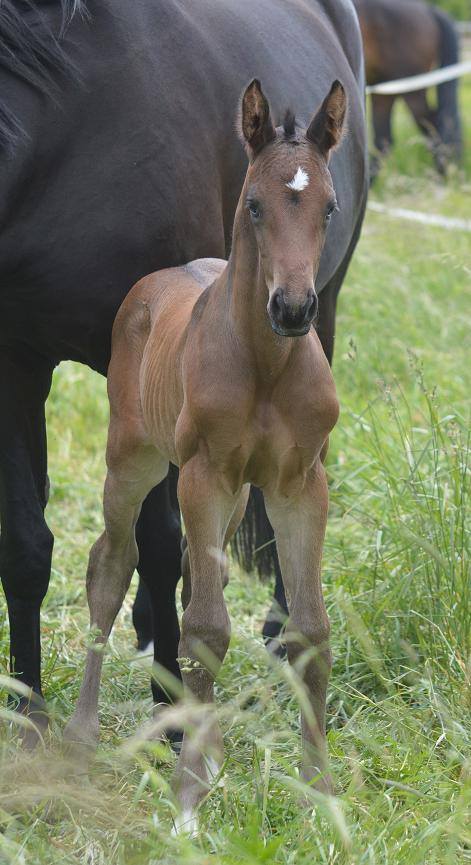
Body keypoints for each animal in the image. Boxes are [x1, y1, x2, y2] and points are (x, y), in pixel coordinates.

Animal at [65, 79, 346, 832]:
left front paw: (320, 794)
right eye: (254, 204)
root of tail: (153, 282)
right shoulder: (203, 474)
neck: (266, 365)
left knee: (197, 571)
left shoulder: (298, 483)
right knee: (112, 565)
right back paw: (81, 732)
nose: (293, 308)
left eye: (328, 205)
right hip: (134, 461)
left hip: (235, 494)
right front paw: (188, 801)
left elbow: (308, 628)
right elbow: (203, 629)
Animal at [352, 0, 462, 177]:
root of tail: (428, 10)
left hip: (411, 90)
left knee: (434, 127)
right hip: (385, 89)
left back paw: (440, 175)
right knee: (384, 141)